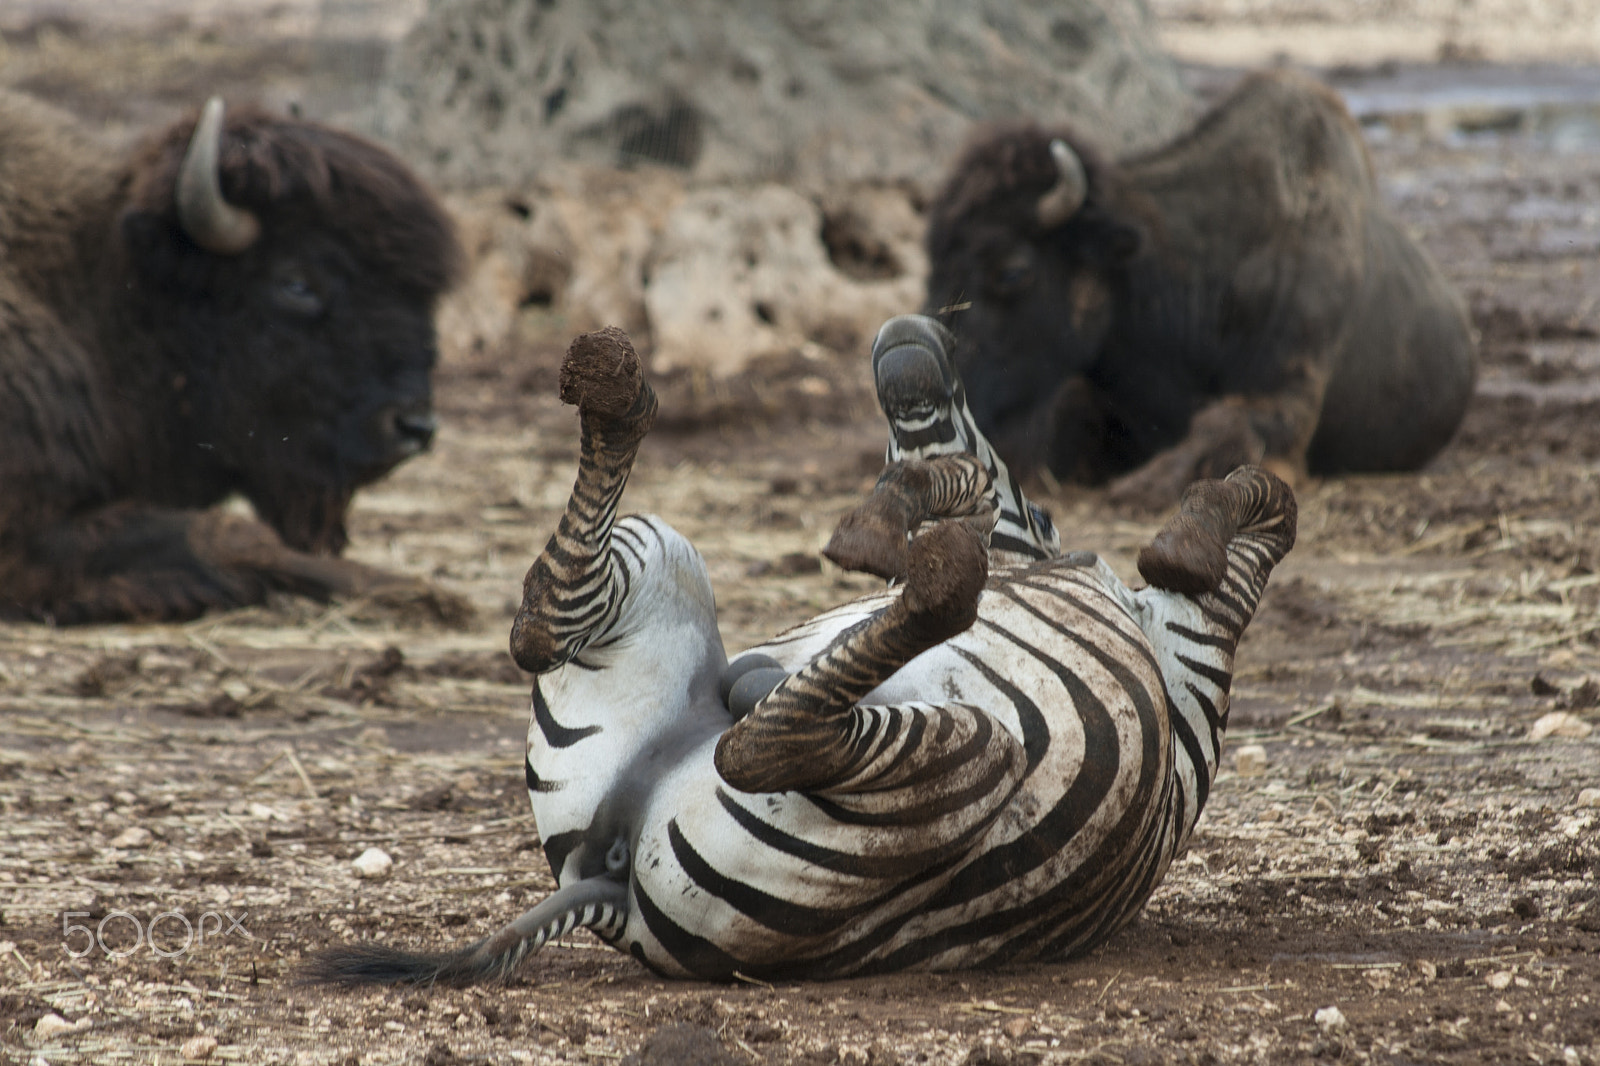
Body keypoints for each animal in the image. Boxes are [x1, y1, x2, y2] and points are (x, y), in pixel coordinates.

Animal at [307, 314, 1296, 984]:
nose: (908, 342)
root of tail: (610, 879)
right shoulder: (1186, 652)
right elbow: (1258, 510)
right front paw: (883, 526)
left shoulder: (1192, 650)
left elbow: (1259, 514)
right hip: (914, 725)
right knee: (604, 650)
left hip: (946, 743)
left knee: (660, 685)